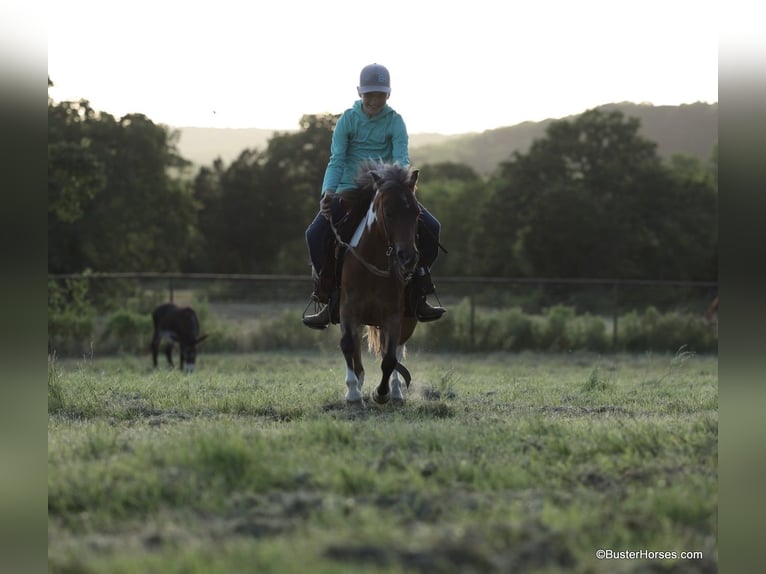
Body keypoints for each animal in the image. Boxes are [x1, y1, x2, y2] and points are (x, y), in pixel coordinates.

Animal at [335, 162, 422, 408]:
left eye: (417, 213)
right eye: (389, 213)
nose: (408, 258)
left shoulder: (393, 315)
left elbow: (390, 358)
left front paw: (381, 393)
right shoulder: (348, 309)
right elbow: (348, 344)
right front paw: (353, 393)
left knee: (397, 350)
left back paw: (396, 392)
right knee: (356, 348)